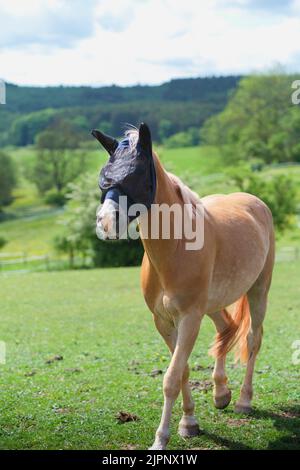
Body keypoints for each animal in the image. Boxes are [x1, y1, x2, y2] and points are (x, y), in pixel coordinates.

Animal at [92, 122, 276, 452]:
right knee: (225, 329)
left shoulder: (190, 318)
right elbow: (183, 371)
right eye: (104, 178)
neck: (175, 247)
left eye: (137, 175)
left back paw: (243, 400)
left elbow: (171, 377)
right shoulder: (165, 322)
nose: (106, 224)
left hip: (258, 292)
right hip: (213, 305)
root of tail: (254, 202)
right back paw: (221, 394)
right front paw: (189, 423)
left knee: (253, 339)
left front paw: (160, 439)